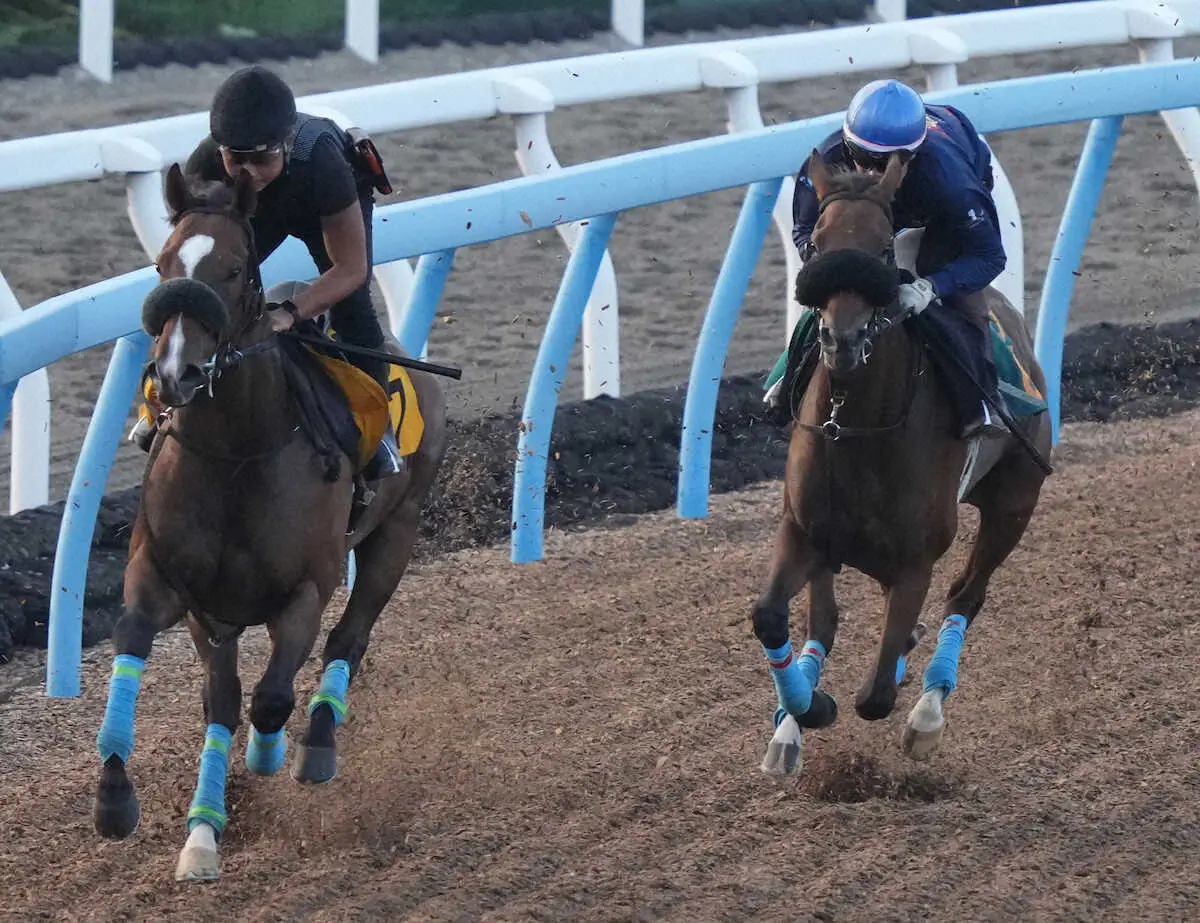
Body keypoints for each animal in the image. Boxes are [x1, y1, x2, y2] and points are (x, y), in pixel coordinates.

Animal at [92, 163, 451, 878]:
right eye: (163, 263)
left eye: (235, 268)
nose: (175, 373)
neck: (237, 454)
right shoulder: (175, 587)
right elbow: (144, 649)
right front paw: (122, 801)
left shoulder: (304, 591)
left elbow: (273, 697)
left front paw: (270, 753)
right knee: (232, 696)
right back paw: (205, 827)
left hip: (396, 534)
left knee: (347, 640)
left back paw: (312, 747)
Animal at [753, 151, 1056, 777]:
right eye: (816, 244)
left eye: (883, 250)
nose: (841, 341)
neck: (854, 426)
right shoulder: (803, 531)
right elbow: (773, 616)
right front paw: (804, 709)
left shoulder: (916, 562)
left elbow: (874, 697)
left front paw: (879, 690)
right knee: (824, 621)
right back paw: (792, 726)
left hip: (1014, 502)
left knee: (966, 595)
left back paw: (926, 712)